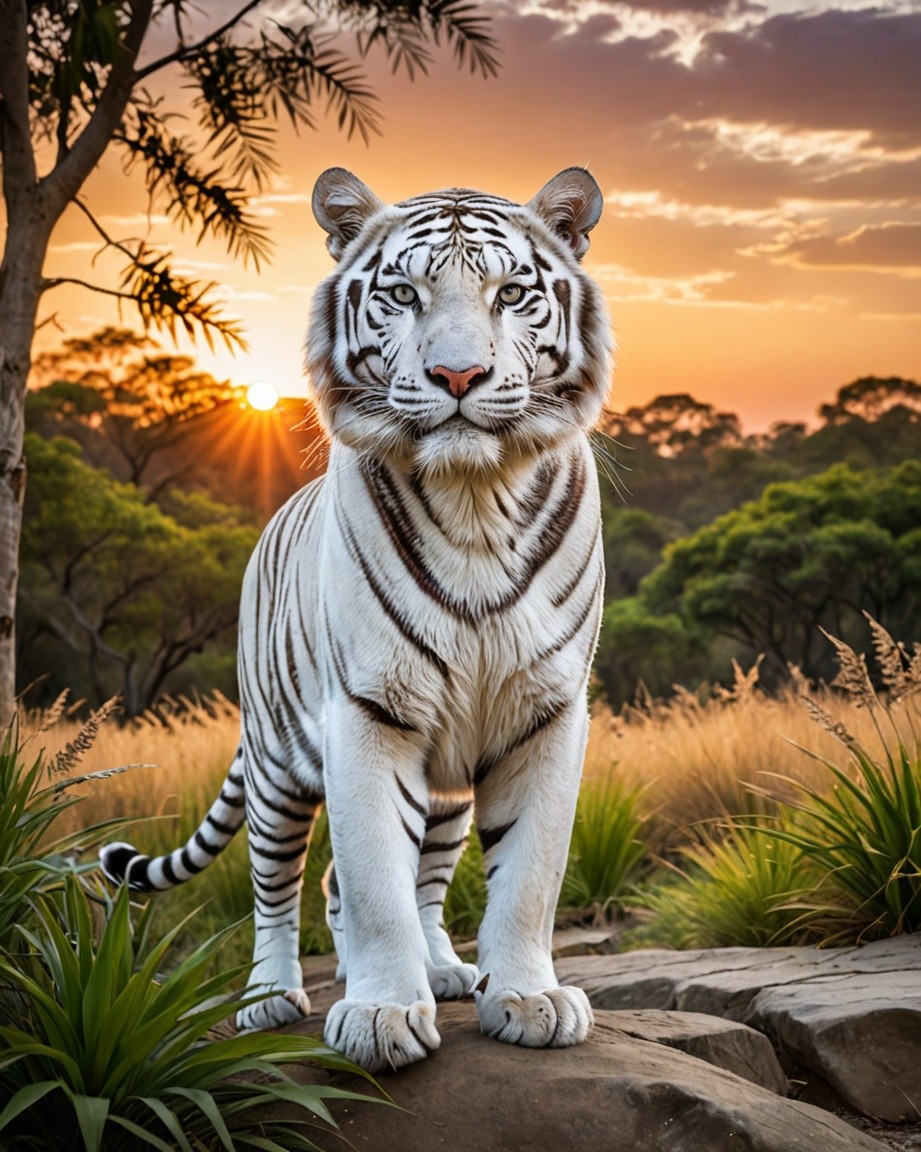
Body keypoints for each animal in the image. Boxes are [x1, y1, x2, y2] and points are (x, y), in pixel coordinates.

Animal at [100, 165, 614, 1074]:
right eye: (403, 294)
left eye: (512, 293)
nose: (457, 377)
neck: (475, 498)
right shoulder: (369, 711)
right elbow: (375, 877)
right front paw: (379, 1015)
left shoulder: (545, 712)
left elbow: (528, 876)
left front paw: (527, 997)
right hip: (276, 765)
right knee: (282, 886)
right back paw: (270, 998)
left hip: (445, 784)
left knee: (422, 881)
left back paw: (443, 968)